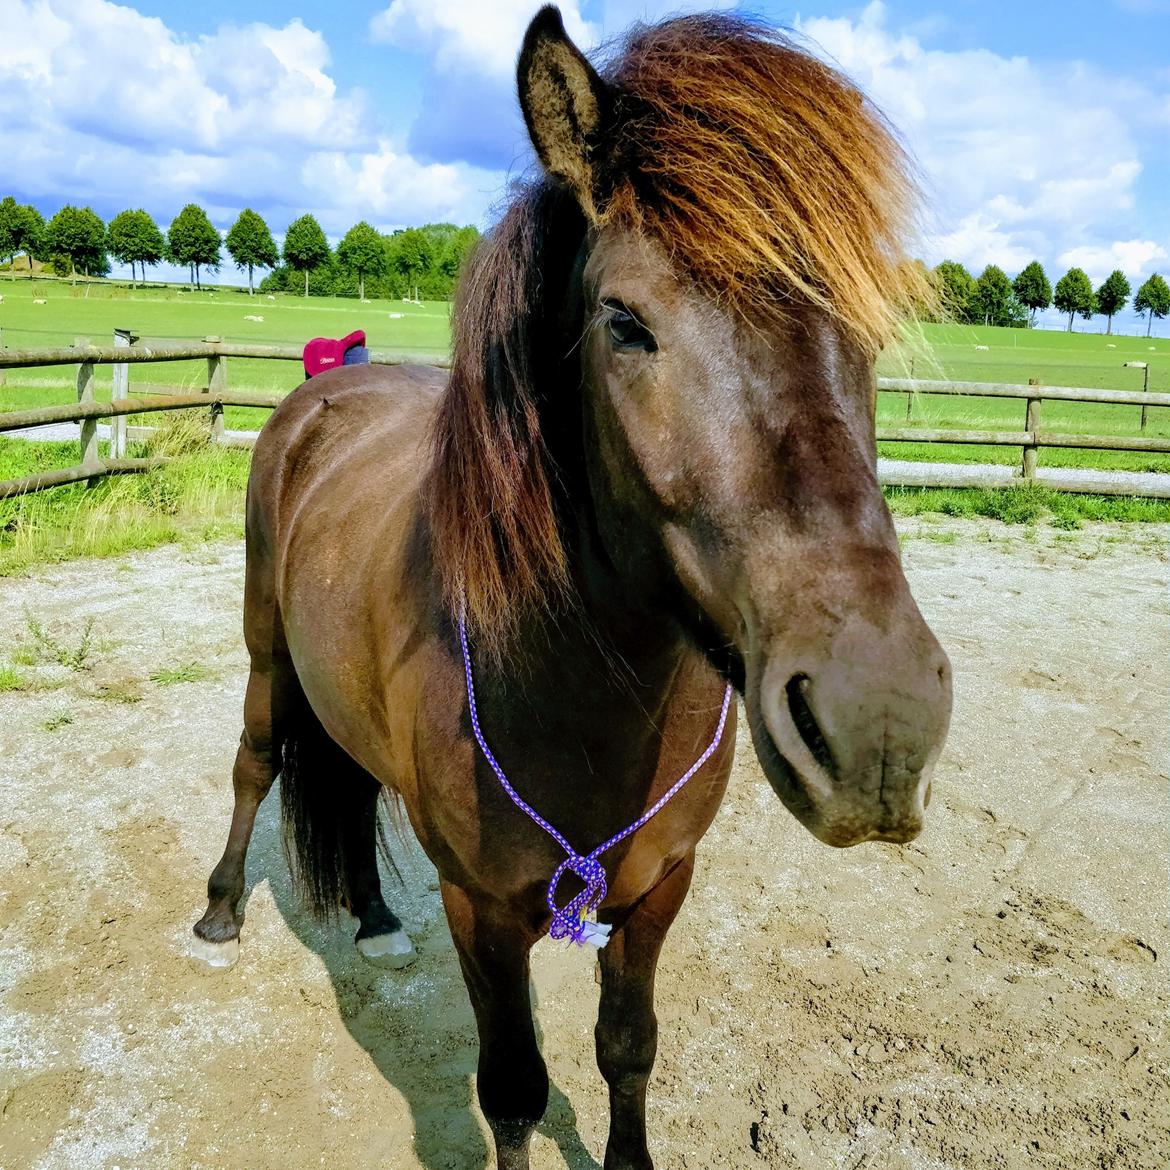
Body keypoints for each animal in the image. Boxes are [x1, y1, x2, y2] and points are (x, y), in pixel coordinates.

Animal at [196, 11, 954, 1170]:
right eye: (623, 321)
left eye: (867, 331)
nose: (878, 725)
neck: (583, 695)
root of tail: (327, 389)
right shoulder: (481, 909)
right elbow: (514, 1088)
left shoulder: (659, 889)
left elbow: (626, 1049)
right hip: (266, 649)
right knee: (253, 764)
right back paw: (221, 914)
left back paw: (374, 919)